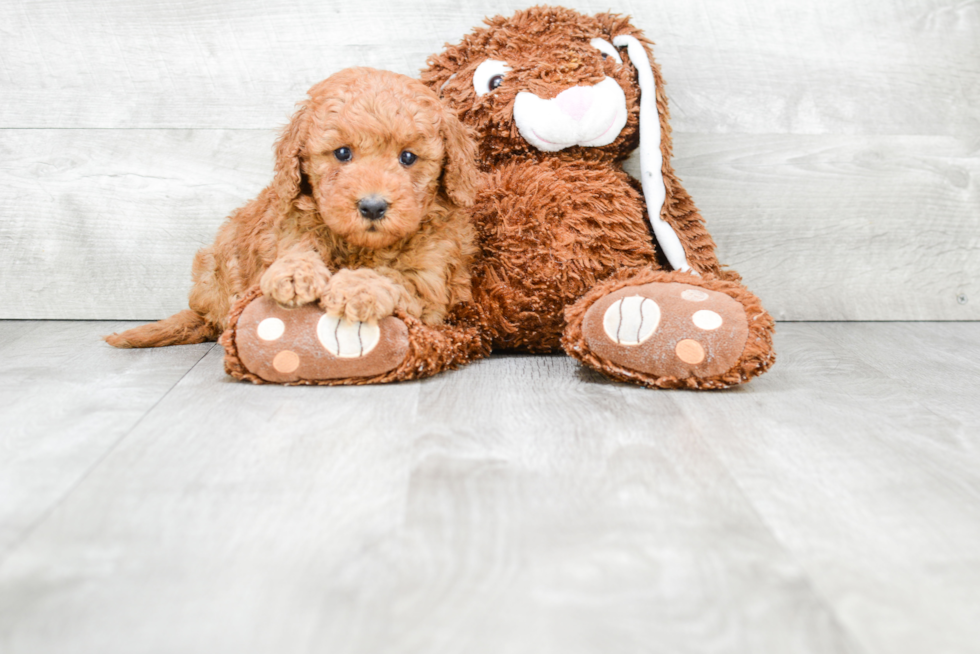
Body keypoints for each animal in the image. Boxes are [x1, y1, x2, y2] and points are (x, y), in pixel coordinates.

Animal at [107, 68, 478, 348]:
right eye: (342, 153)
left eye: (408, 157)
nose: (372, 207)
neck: (359, 246)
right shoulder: (289, 227)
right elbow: (299, 248)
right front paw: (294, 274)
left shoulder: (430, 284)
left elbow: (393, 276)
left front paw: (355, 288)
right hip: (215, 261)